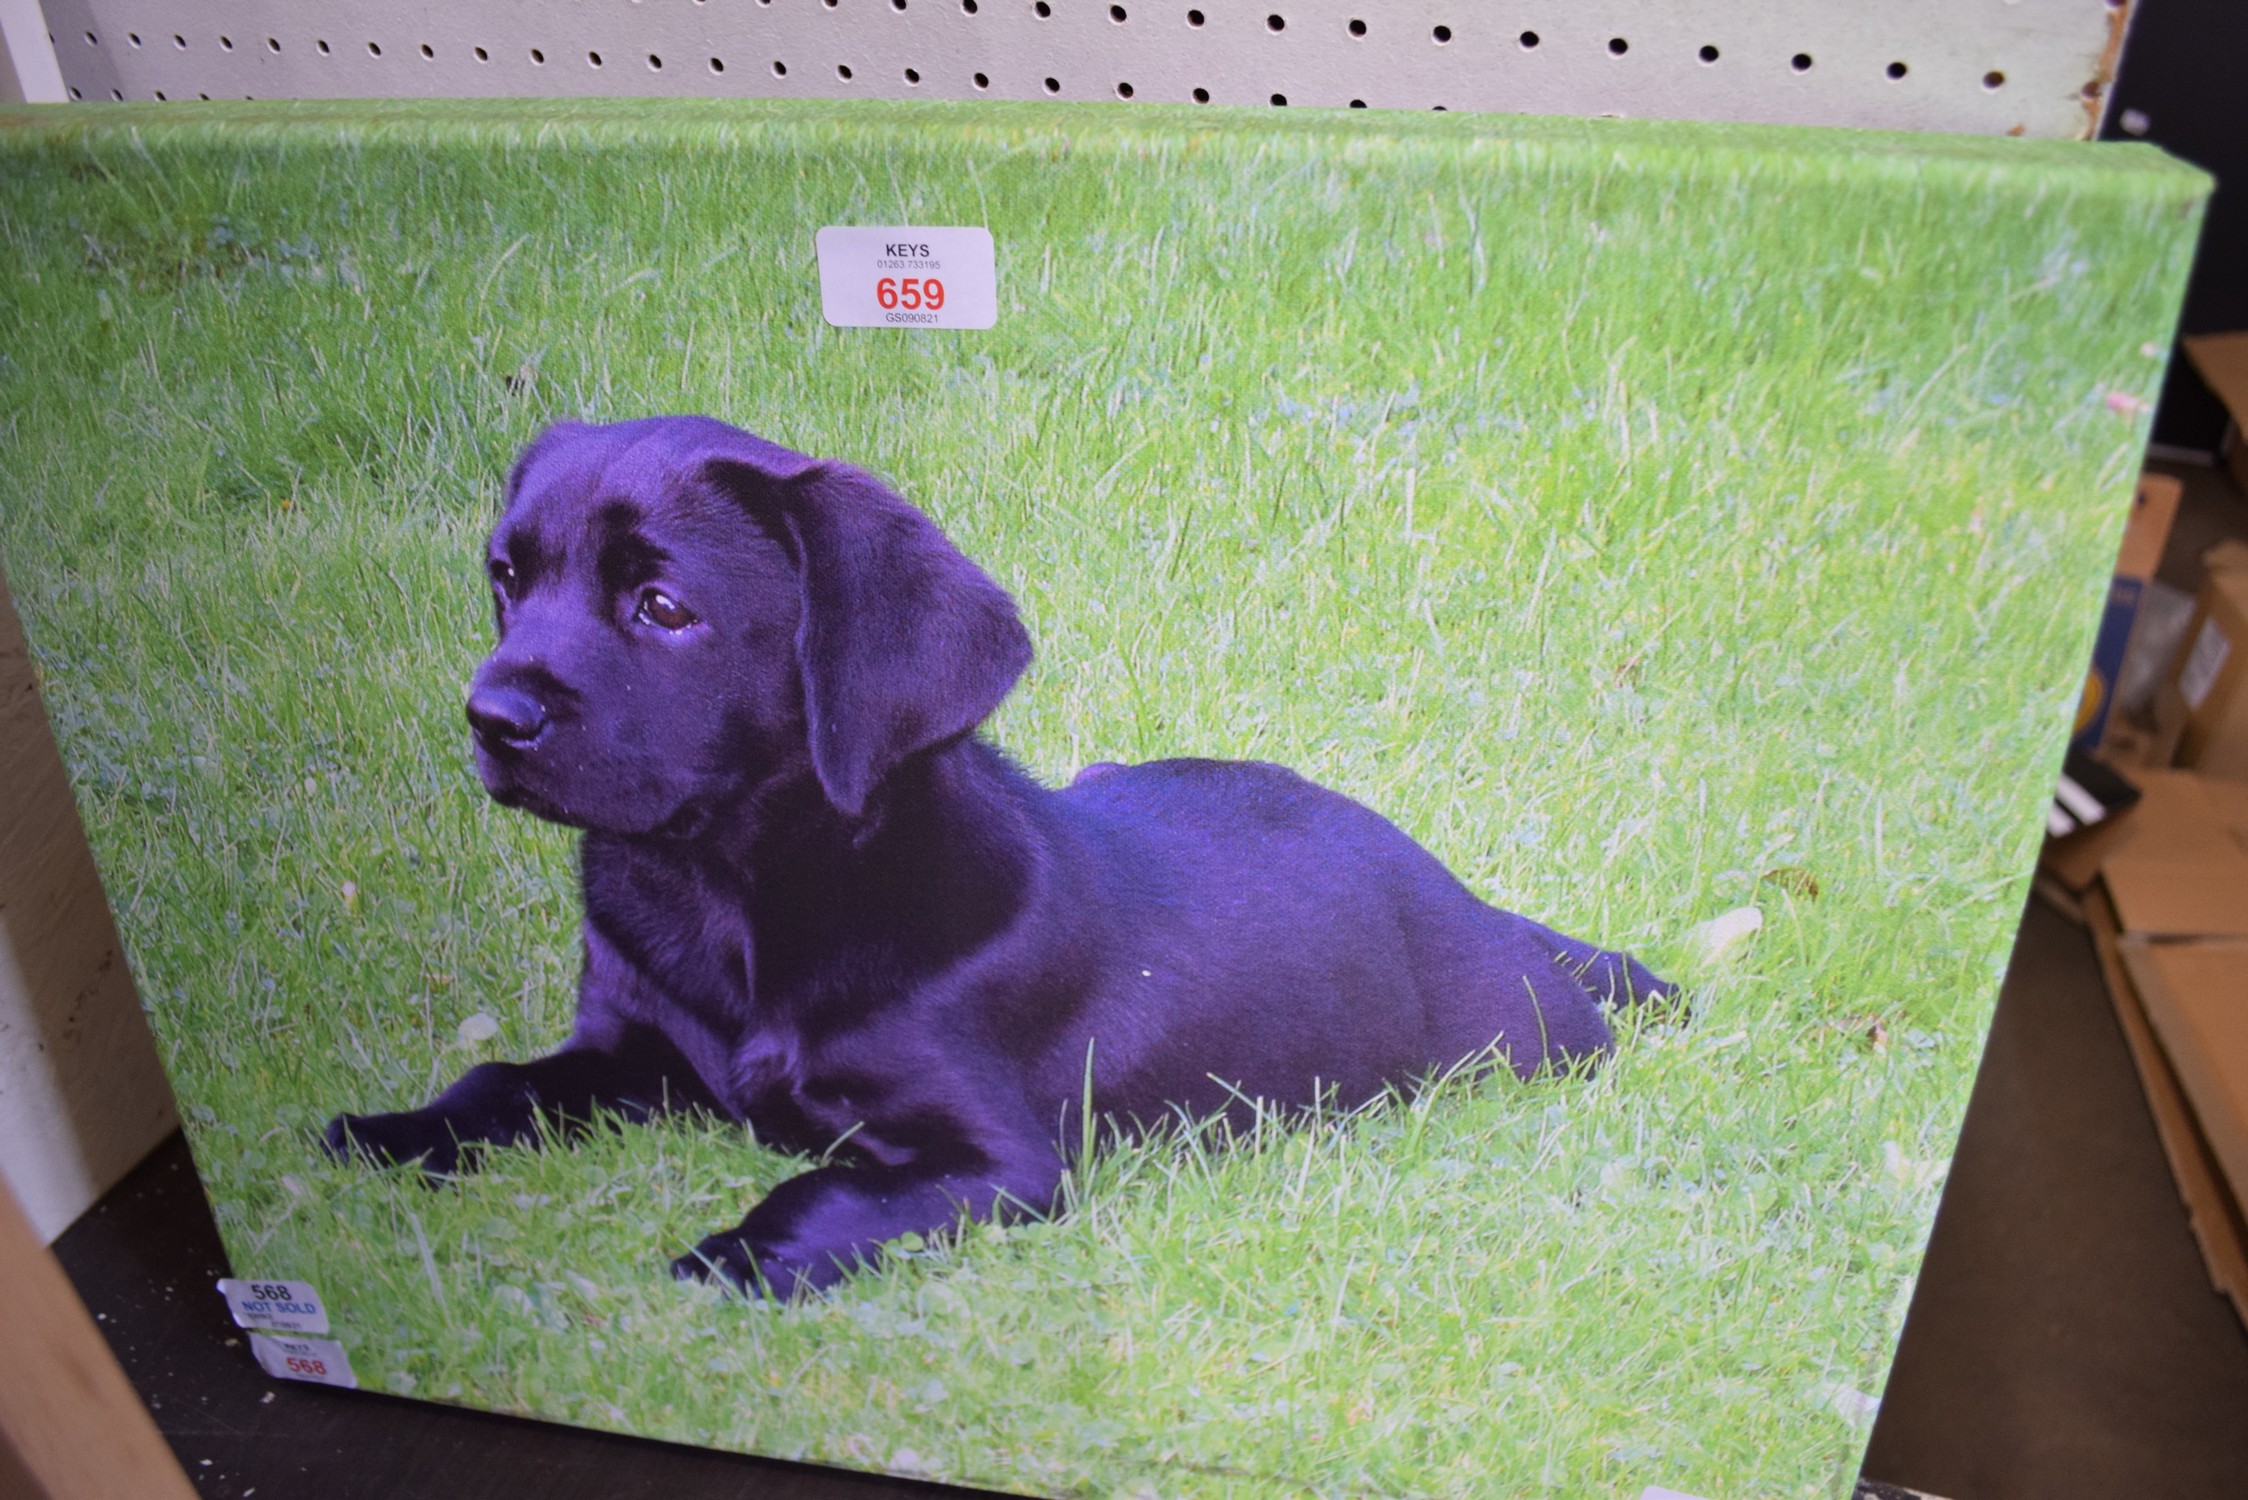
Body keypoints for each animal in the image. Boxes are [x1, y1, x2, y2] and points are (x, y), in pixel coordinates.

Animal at [325, 416, 1681, 1295]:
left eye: (662, 607)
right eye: (507, 579)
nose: (490, 716)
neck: (734, 895)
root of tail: (1472, 898)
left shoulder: (993, 1157)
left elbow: (824, 1189)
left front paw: (733, 1256)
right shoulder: (627, 1048)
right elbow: (495, 1083)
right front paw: (390, 1133)